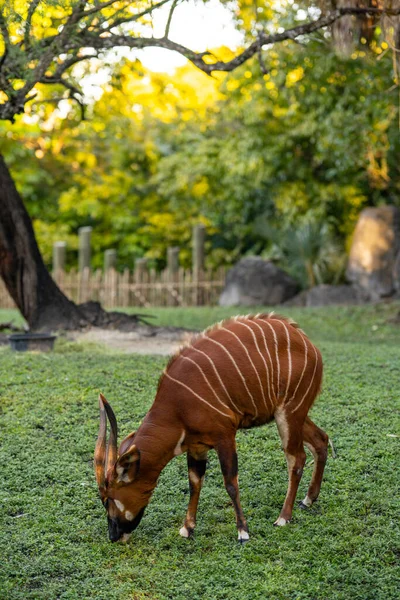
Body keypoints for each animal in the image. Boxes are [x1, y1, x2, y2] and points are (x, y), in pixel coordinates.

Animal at [94, 314, 328, 544]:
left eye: (107, 499)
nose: (113, 536)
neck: (177, 407)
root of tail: (308, 344)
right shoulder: (197, 446)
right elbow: (194, 482)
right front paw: (187, 528)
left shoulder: (225, 436)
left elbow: (230, 482)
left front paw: (243, 532)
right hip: (294, 414)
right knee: (321, 439)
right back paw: (308, 500)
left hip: (289, 413)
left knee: (296, 458)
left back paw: (283, 518)